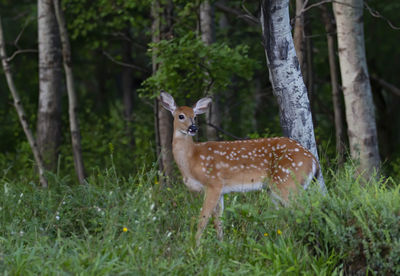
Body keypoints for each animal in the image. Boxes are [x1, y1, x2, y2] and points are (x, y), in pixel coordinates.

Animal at [159, 91, 318, 245]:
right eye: (181, 116)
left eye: (195, 116)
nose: (193, 128)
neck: (191, 159)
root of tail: (313, 159)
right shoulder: (220, 190)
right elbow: (218, 219)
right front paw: (221, 244)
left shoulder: (214, 183)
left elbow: (203, 217)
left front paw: (195, 246)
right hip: (276, 189)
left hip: (287, 182)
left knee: (302, 211)